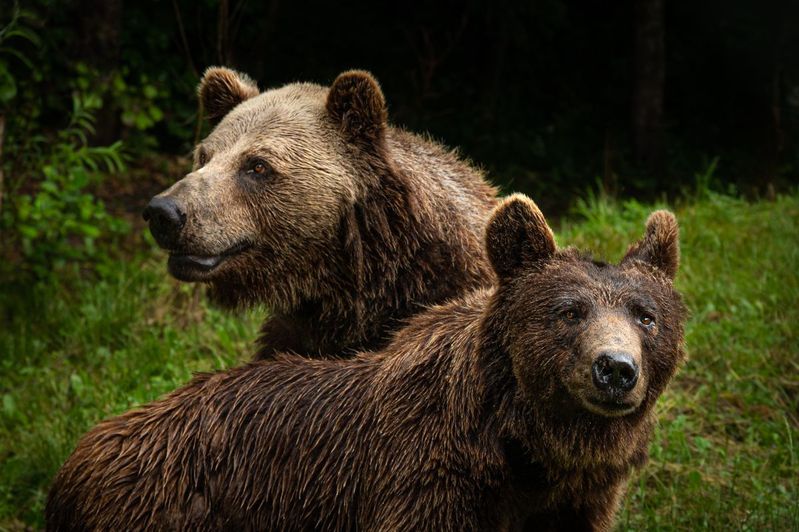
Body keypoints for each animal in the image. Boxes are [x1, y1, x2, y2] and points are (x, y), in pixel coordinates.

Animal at [48, 196, 688, 532]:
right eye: (569, 311)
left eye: (646, 316)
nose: (615, 369)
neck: (524, 445)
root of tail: (74, 462)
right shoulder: (422, 482)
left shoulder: (574, 502)